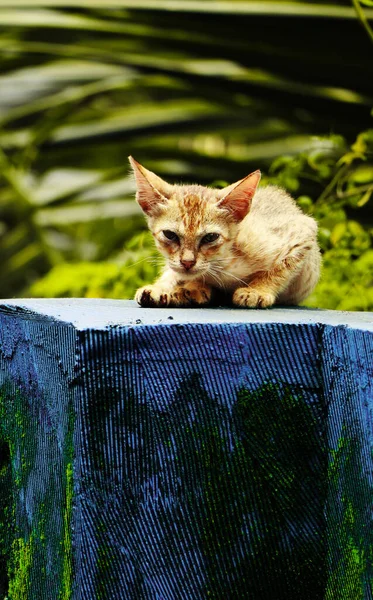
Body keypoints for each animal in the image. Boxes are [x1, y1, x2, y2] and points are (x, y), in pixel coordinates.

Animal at [128, 157, 320, 308]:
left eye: (210, 237)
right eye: (170, 235)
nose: (188, 263)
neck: (221, 265)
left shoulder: (303, 230)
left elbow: (280, 268)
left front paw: (257, 290)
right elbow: (176, 275)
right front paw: (166, 288)